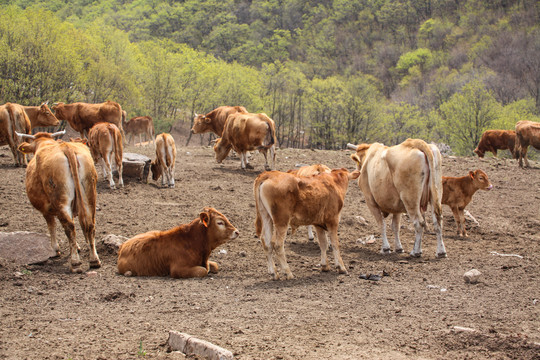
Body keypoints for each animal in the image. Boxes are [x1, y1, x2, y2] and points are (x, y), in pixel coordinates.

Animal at [16, 131, 100, 272]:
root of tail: (67, 147)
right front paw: (78, 246)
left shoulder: (46, 210)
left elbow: (52, 226)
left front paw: (55, 249)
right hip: (90, 196)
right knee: (90, 225)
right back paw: (94, 260)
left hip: (61, 199)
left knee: (69, 227)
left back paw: (75, 262)